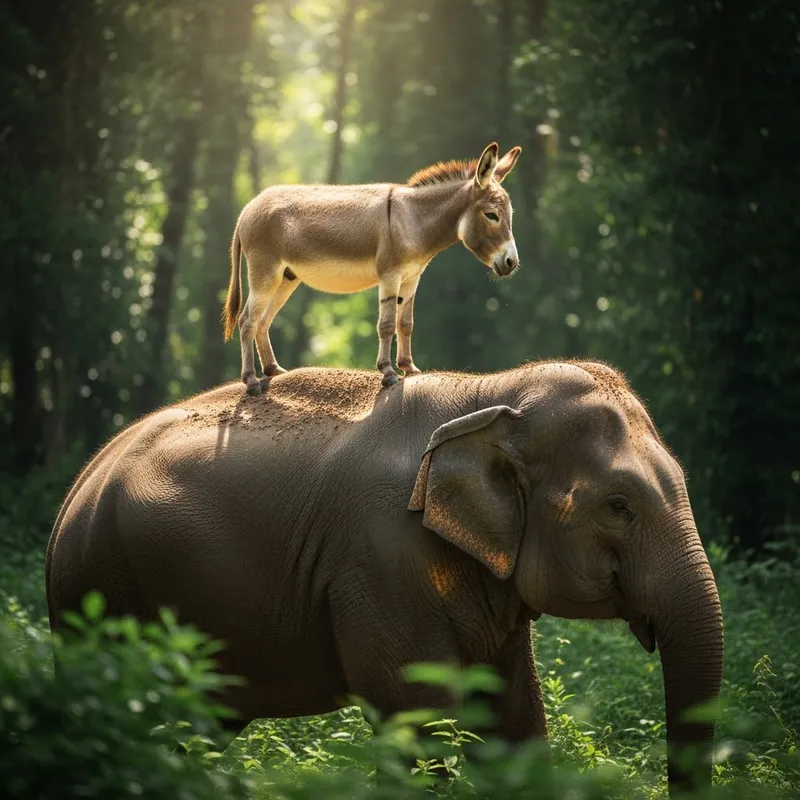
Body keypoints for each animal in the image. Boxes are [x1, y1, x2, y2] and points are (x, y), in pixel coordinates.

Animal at [46, 361, 723, 794]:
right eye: (619, 505)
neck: (488, 393)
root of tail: (75, 490)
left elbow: (514, 723)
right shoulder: (379, 558)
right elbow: (419, 721)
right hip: (103, 592)